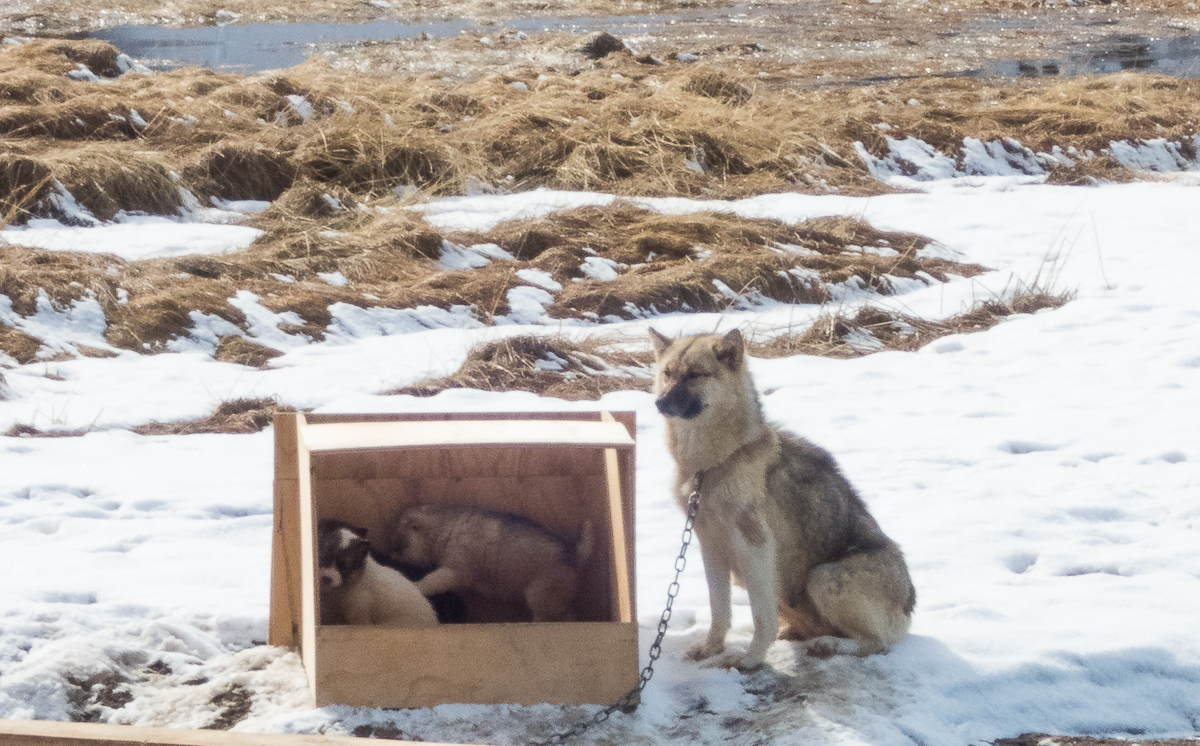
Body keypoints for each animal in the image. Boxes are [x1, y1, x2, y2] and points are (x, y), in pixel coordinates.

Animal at [391, 506, 592, 623]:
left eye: (399, 546)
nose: (392, 556)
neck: (446, 530)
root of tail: (573, 555)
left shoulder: (456, 571)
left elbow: (432, 580)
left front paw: (416, 585)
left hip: (539, 596)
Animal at [652, 326, 912, 671]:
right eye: (667, 374)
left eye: (694, 374)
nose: (659, 403)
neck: (709, 466)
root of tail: (909, 607)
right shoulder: (711, 547)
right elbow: (719, 610)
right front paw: (711, 648)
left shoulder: (755, 549)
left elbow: (761, 617)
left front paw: (751, 658)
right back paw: (799, 634)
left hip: (823, 577)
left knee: (876, 643)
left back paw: (828, 644)